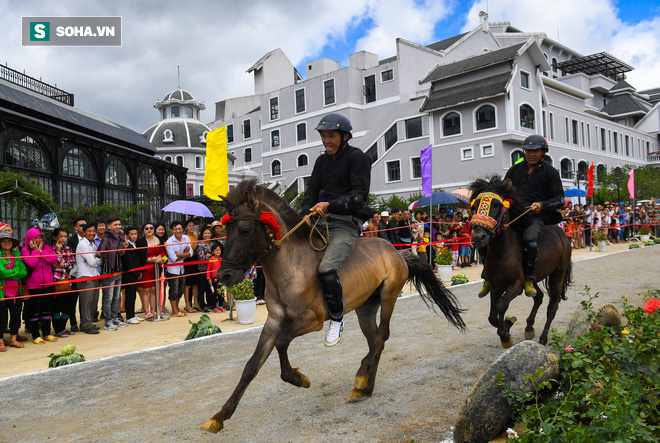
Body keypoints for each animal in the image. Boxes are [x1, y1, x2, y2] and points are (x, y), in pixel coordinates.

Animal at [201, 180, 464, 434]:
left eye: (245, 230)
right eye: (226, 231)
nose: (224, 275)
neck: (290, 264)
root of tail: (396, 252)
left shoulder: (313, 318)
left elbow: (283, 341)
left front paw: (298, 378)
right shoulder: (274, 319)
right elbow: (252, 365)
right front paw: (219, 417)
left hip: (389, 295)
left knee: (382, 336)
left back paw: (361, 377)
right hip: (365, 307)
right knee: (375, 342)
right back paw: (365, 387)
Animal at [470, 176, 572, 346]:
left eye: (496, 204)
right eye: (475, 205)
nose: (479, 236)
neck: (502, 253)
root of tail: (561, 232)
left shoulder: (516, 284)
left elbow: (501, 304)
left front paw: (506, 335)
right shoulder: (495, 284)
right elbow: (492, 316)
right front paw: (507, 325)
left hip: (558, 274)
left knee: (552, 306)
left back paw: (543, 338)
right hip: (533, 278)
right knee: (538, 296)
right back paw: (529, 328)